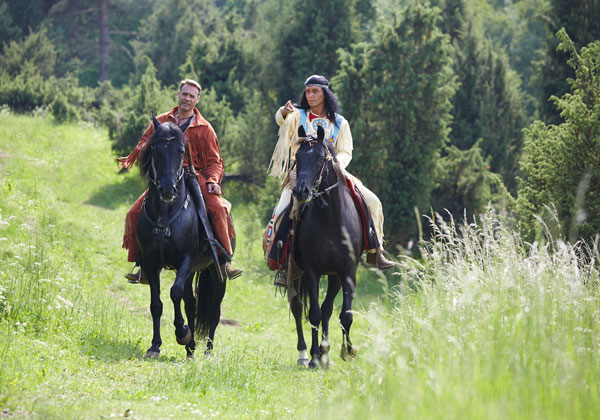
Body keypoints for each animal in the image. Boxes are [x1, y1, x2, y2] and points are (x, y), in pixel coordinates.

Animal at [290, 125, 360, 368]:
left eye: (321, 158)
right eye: (297, 157)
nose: (301, 191)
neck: (331, 219)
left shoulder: (347, 271)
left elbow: (345, 314)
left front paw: (347, 351)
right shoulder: (312, 271)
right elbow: (314, 314)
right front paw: (314, 357)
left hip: (334, 276)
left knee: (328, 309)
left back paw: (325, 351)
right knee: (297, 306)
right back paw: (305, 353)